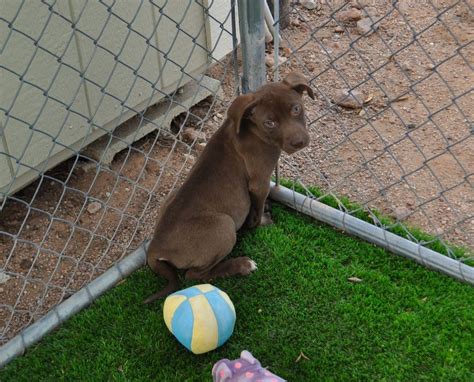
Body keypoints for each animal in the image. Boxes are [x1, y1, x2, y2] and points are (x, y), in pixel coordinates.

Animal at [144, 73, 314, 302]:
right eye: (269, 123)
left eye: (296, 109)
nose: (299, 142)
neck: (252, 130)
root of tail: (155, 246)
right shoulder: (259, 182)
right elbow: (255, 209)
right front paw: (260, 221)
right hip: (223, 227)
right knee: (193, 275)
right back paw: (241, 265)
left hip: (170, 196)